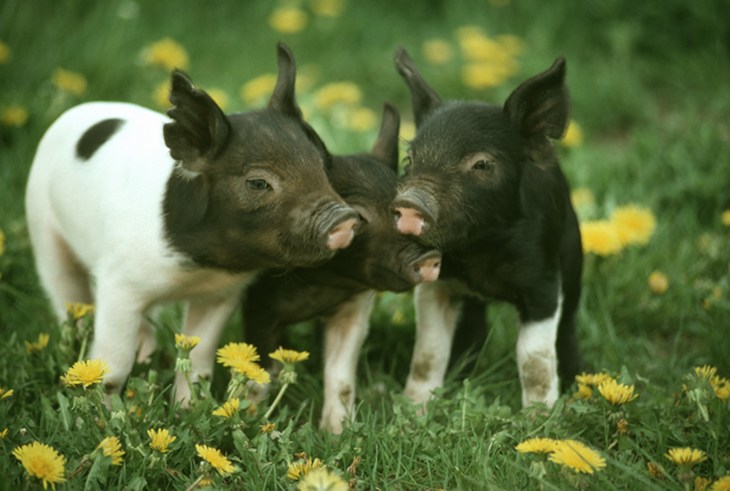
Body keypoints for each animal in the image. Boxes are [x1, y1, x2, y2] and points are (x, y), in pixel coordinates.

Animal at [25, 43, 358, 399]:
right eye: (258, 183)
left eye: (324, 163)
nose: (345, 219)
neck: (198, 266)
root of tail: (76, 111)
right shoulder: (118, 282)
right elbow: (112, 365)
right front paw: (106, 408)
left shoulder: (221, 294)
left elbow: (198, 362)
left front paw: (186, 406)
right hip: (42, 226)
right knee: (65, 294)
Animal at [242, 103, 441, 433]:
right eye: (359, 216)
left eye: (403, 205)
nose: (430, 257)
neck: (321, 286)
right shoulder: (258, 307)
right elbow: (259, 372)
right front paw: (252, 420)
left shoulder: (354, 307)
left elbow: (341, 375)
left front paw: (336, 433)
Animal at [392, 47, 583, 409]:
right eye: (409, 159)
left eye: (482, 164)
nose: (410, 202)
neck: (480, 252)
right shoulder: (438, 283)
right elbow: (429, 350)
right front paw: (414, 407)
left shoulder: (544, 283)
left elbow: (534, 358)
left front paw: (541, 417)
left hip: (574, 260)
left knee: (568, 328)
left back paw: (580, 378)